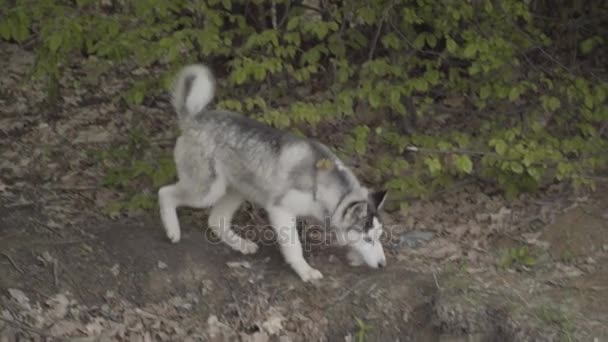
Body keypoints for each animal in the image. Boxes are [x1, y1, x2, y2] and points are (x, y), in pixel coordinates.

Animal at [157, 63, 384, 280]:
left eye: (379, 236)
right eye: (367, 238)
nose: (383, 264)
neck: (321, 183)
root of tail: (193, 119)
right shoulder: (280, 210)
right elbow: (294, 247)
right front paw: (305, 271)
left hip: (236, 190)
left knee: (215, 220)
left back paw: (241, 244)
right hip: (208, 191)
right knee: (165, 192)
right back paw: (172, 230)